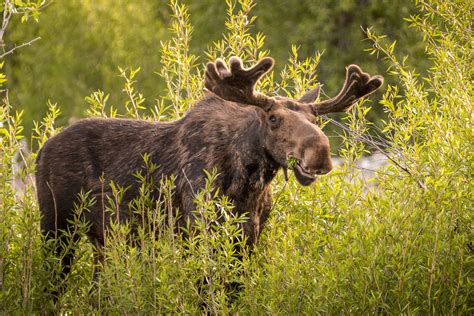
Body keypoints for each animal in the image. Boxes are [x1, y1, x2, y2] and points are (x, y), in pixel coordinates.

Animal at [35, 55, 384, 280]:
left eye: (315, 119)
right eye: (273, 118)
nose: (320, 153)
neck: (250, 182)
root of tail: (40, 153)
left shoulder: (249, 239)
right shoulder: (200, 232)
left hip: (102, 242)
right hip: (57, 228)